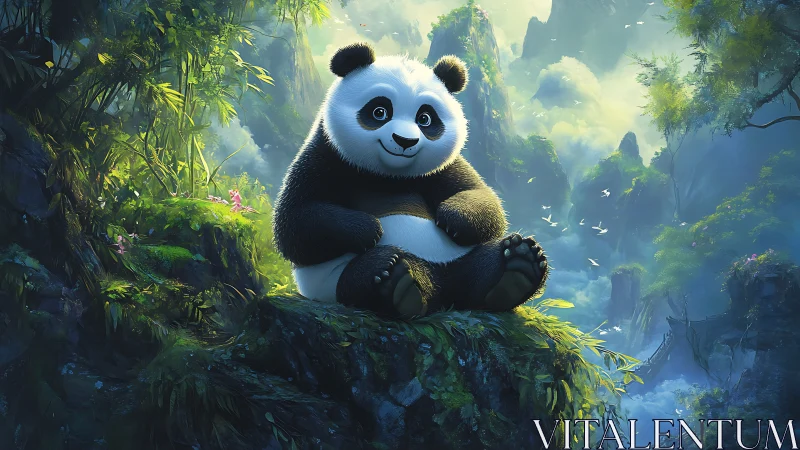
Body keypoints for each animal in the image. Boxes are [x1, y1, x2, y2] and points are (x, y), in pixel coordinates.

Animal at [272, 42, 549, 318]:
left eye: (425, 118)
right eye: (380, 112)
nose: (405, 141)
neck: (389, 176)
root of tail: (444, 297)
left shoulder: (441, 168)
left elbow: (483, 199)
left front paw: (453, 218)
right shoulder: (326, 156)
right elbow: (296, 223)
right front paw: (368, 228)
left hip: (458, 259)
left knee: (480, 267)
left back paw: (518, 267)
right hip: (332, 282)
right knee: (361, 278)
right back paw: (397, 282)